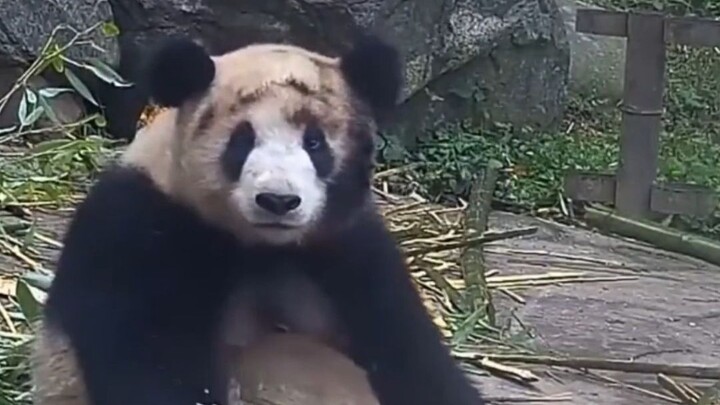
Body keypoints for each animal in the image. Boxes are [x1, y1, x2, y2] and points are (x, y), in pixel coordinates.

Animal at [30, 32, 485, 405]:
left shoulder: (348, 251)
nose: (278, 201)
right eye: (241, 141)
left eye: (315, 143)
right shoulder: (139, 230)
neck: (262, 244)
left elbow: (409, 353)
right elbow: (148, 356)